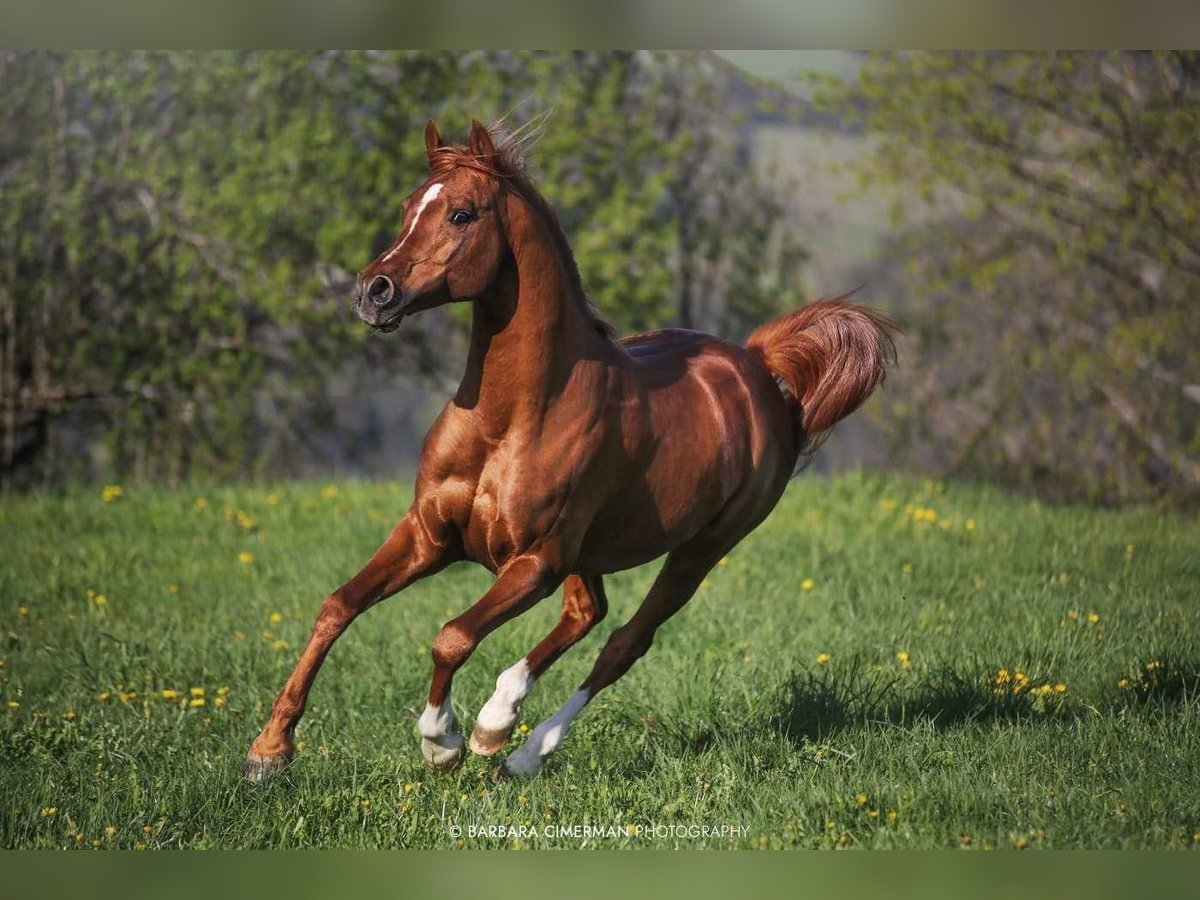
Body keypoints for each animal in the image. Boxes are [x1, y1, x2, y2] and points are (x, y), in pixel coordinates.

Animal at [243, 120, 897, 782]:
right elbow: (338, 605)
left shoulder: (536, 561)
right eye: (406, 207)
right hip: (593, 551)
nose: (373, 292)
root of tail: (758, 365)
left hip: (700, 550)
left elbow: (451, 636)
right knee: (588, 612)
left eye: (461, 213)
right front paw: (269, 751)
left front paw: (443, 742)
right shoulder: (428, 534)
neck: (510, 419)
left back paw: (516, 747)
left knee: (623, 643)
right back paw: (499, 721)